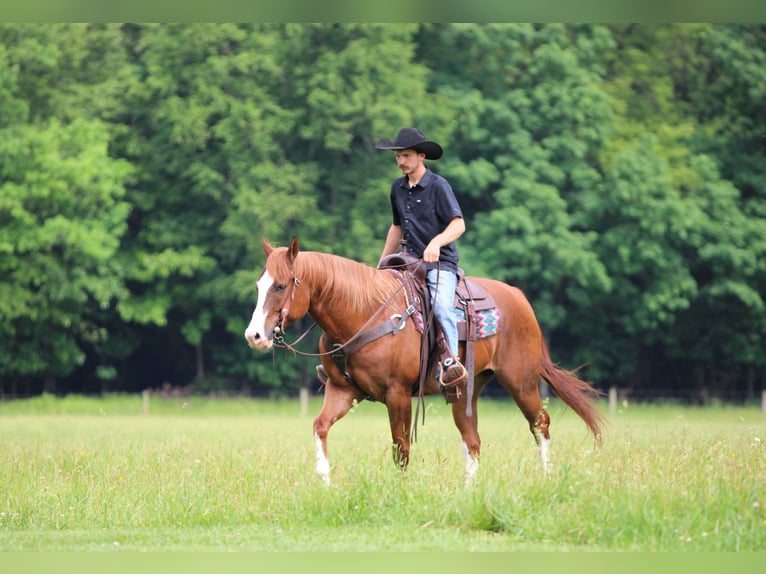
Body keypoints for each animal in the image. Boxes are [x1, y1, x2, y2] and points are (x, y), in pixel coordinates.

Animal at [244, 236, 604, 485]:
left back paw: (546, 478)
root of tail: (519, 297)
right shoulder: (342, 391)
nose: (254, 335)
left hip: (522, 382)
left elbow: (401, 447)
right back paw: (468, 491)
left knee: (540, 425)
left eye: (281, 286)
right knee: (472, 441)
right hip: (466, 390)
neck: (363, 313)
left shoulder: (398, 394)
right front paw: (325, 480)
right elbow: (319, 427)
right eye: (259, 285)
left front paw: (401, 491)